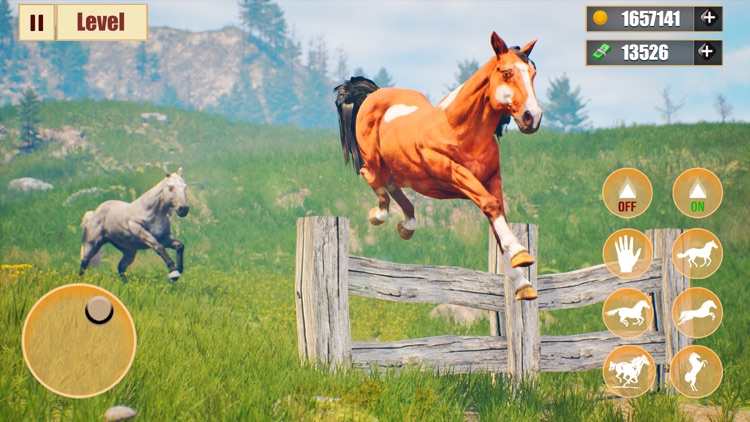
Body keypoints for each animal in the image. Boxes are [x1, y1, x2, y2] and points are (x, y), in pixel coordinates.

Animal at [334, 32, 542, 301]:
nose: (532, 117)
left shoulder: (492, 179)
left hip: (400, 169)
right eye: (506, 73)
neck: (457, 128)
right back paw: (380, 215)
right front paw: (521, 254)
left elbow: (498, 221)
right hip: (374, 160)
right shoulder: (455, 174)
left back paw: (407, 224)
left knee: (390, 182)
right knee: (371, 176)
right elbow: (491, 206)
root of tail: (373, 95)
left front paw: (522, 284)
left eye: (533, 73)